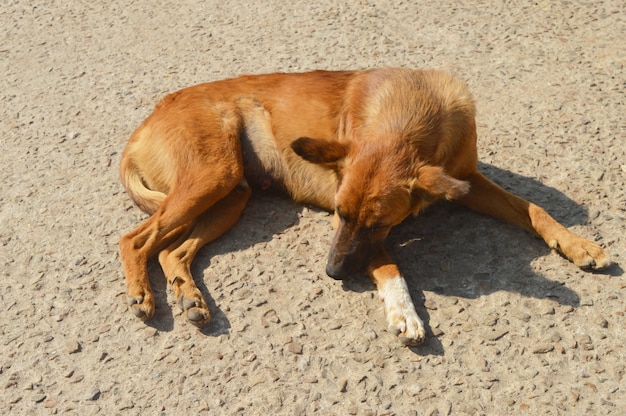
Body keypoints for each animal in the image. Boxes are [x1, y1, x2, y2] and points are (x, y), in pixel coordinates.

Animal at [119, 68, 608, 346]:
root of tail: (142, 126)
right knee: (133, 239)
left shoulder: (464, 181)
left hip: (231, 195)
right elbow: (389, 263)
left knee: (171, 250)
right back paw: (143, 293)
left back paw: (188, 295)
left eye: (379, 222)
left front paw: (578, 244)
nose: (332, 274)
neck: (412, 115)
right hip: (213, 178)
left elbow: (533, 208)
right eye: (338, 214)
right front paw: (405, 311)